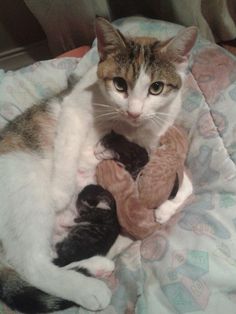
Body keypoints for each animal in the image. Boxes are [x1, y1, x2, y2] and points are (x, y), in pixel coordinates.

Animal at [0, 17, 195, 314]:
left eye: (156, 88)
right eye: (120, 84)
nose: (134, 111)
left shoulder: (153, 140)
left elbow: (185, 182)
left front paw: (166, 207)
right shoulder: (73, 109)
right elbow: (68, 149)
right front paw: (60, 192)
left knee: (51, 256)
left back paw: (99, 263)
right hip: (27, 193)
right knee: (33, 265)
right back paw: (88, 288)